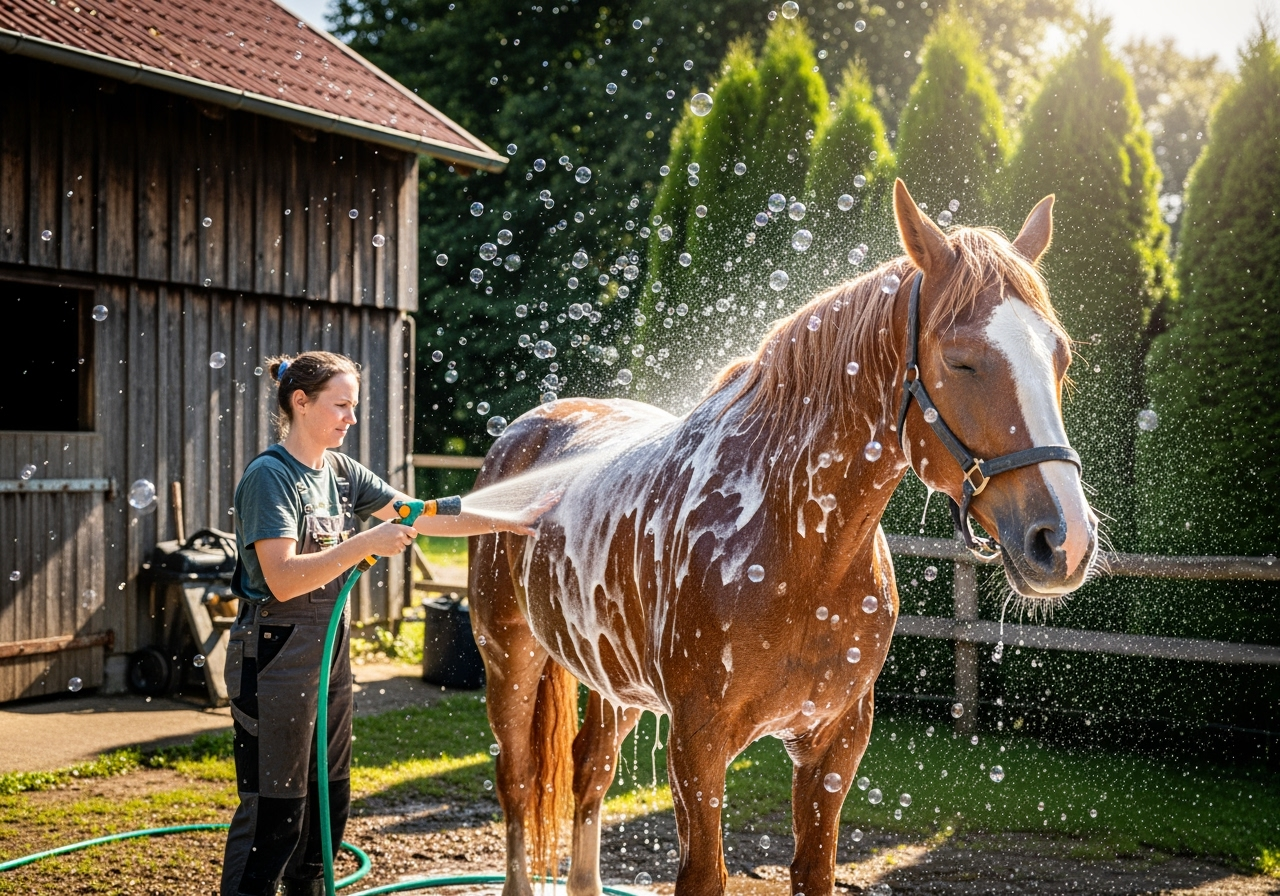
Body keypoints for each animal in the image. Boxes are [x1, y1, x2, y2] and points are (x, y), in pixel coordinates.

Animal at [467, 179, 1099, 896]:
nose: (1064, 540)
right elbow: (703, 875)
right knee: (517, 781)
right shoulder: (697, 745)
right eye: (962, 361)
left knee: (590, 770)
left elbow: (813, 869)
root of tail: (532, 427)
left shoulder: (835, 742)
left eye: (1060, 356)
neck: (800, 550)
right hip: (509, 657)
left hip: (611, 677)